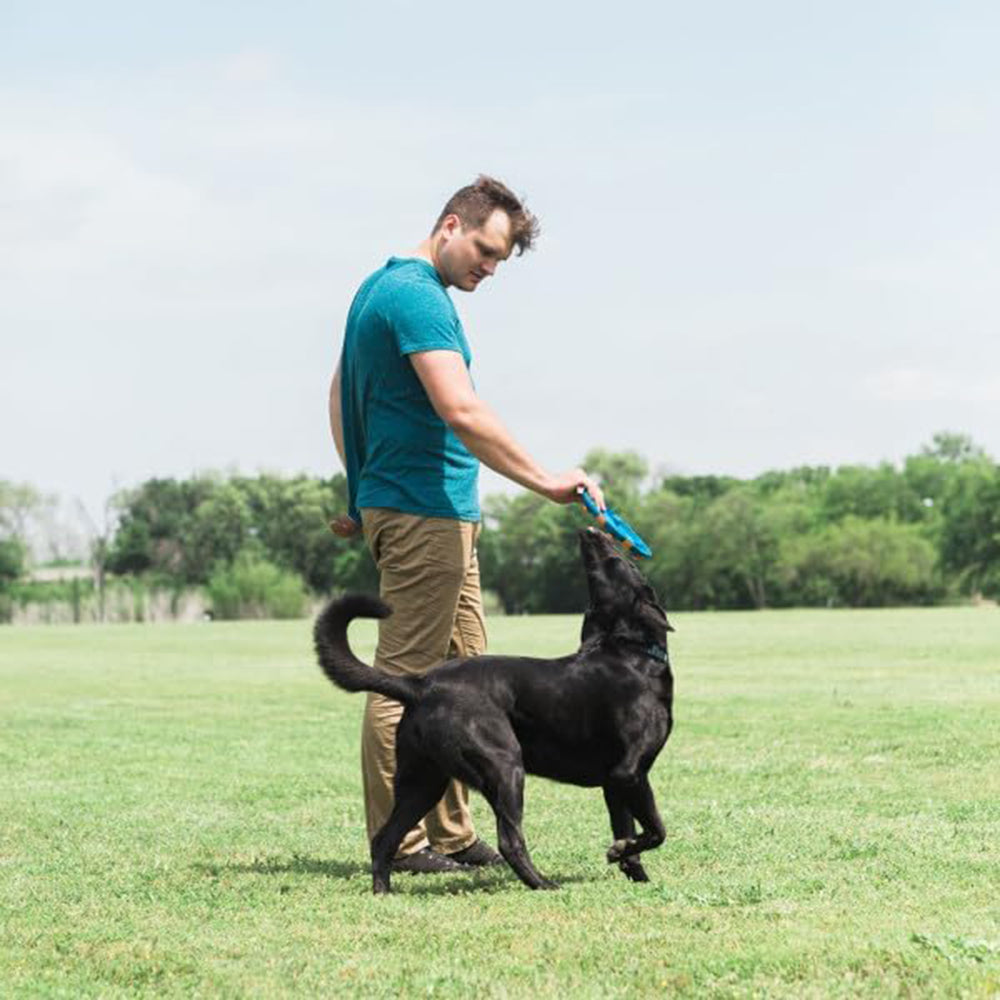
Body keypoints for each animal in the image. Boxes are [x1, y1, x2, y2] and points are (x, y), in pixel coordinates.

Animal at [312, 528, 672, 896]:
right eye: (623, 562)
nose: (591, 531)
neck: (632, 653)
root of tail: (421, 685)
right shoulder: (629, 773)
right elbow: (657, 830)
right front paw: (622, 853)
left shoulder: (613, 784)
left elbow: (627, 833)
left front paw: (632, 868)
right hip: (505, 767)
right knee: (509, 840)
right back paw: (543, 883)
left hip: (423, 781)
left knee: (385, 839)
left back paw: (383, 892)